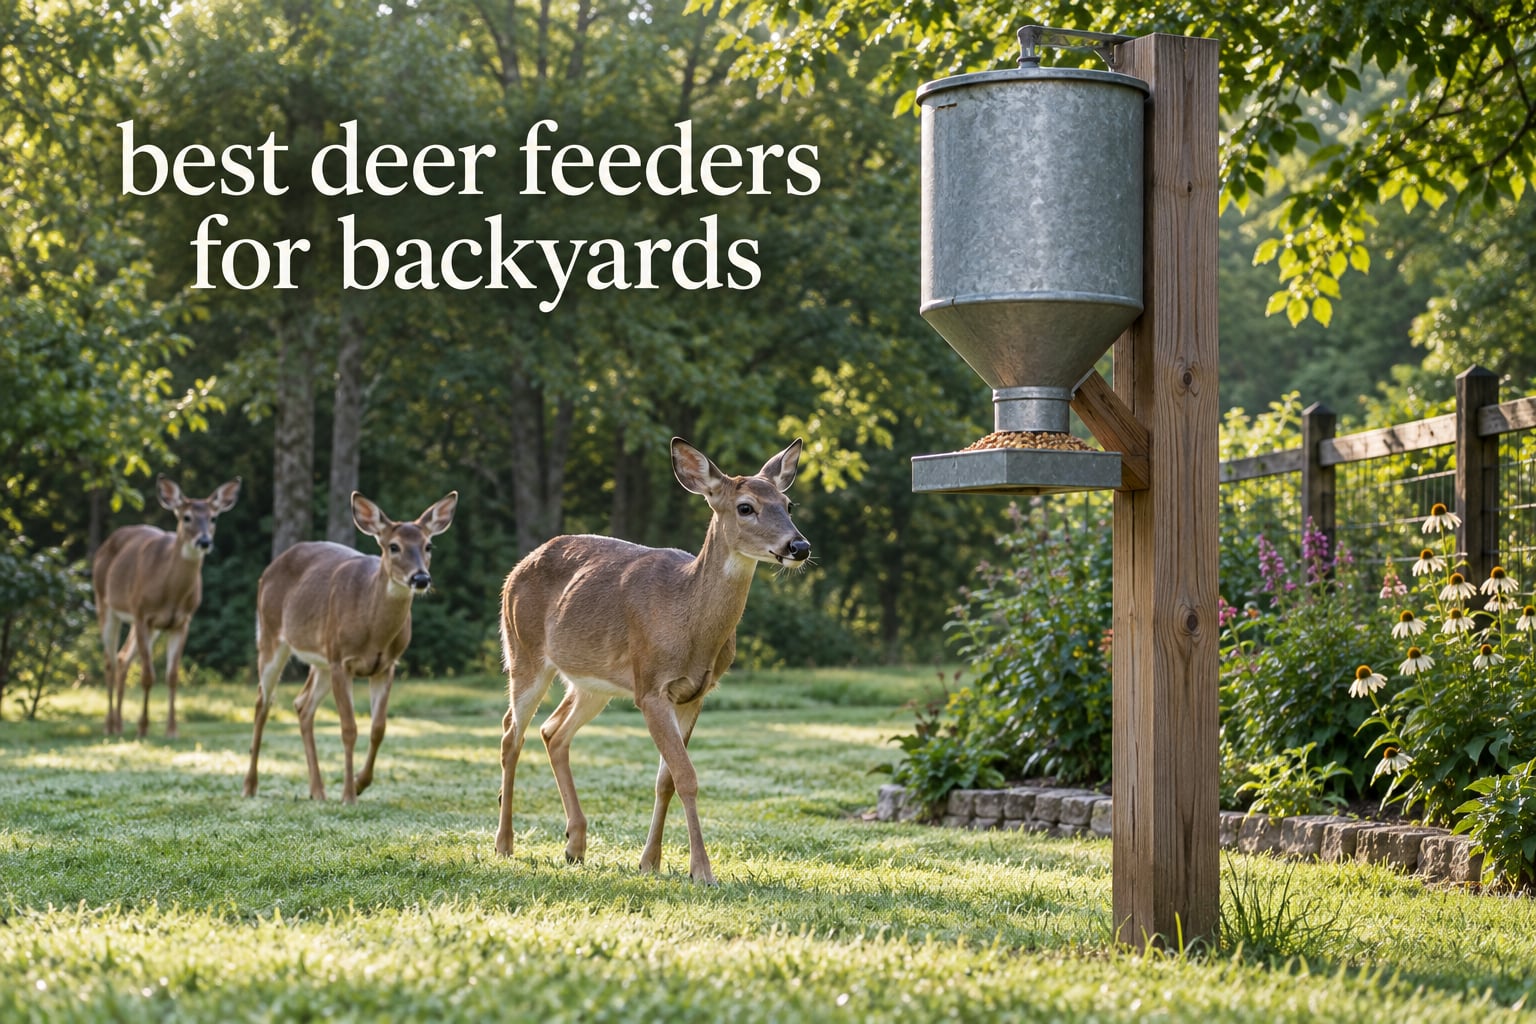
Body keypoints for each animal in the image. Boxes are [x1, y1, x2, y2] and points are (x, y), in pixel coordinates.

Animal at [91, 476, 242, 738]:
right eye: (187, 517)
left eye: (213, 518)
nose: (204, 541)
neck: (170, 592)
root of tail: (106, 543)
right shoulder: (142, 614)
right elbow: (148, 675)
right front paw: (143, 727)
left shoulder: (181, 621)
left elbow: (172, 676)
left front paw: (172, 729)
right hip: (106, 603)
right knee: (109, 660)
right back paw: (109, 725)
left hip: (146, 625)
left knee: (122, 657)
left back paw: (119, 724)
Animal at [242, 490, 458, 804]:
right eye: (393, 546)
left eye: (428, 545)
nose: (420, 578)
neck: (373, 630)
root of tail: (269, 569)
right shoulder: (341, 660)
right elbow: (348, 729)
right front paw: (348, 795)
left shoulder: (386, 665)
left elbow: (378, 729)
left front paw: (359, 783)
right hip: (272, 637)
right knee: (263, 702)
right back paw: (250, 785)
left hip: (321, 660)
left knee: (302, 705)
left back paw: (317, 790)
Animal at [495, 437, 811, 884]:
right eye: (746, 507)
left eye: (788, 503)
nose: (799, 546)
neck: (688, 621)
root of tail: (515, 570)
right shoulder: (650, 687)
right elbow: (687, 776)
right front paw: (702, 870)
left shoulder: (695, 693)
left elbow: (667, 779)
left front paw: (650, 861)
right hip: (523, 650)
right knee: (511, 734)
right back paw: (505, 843)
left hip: (592, 683)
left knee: (553, 732)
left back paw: (575, 845)